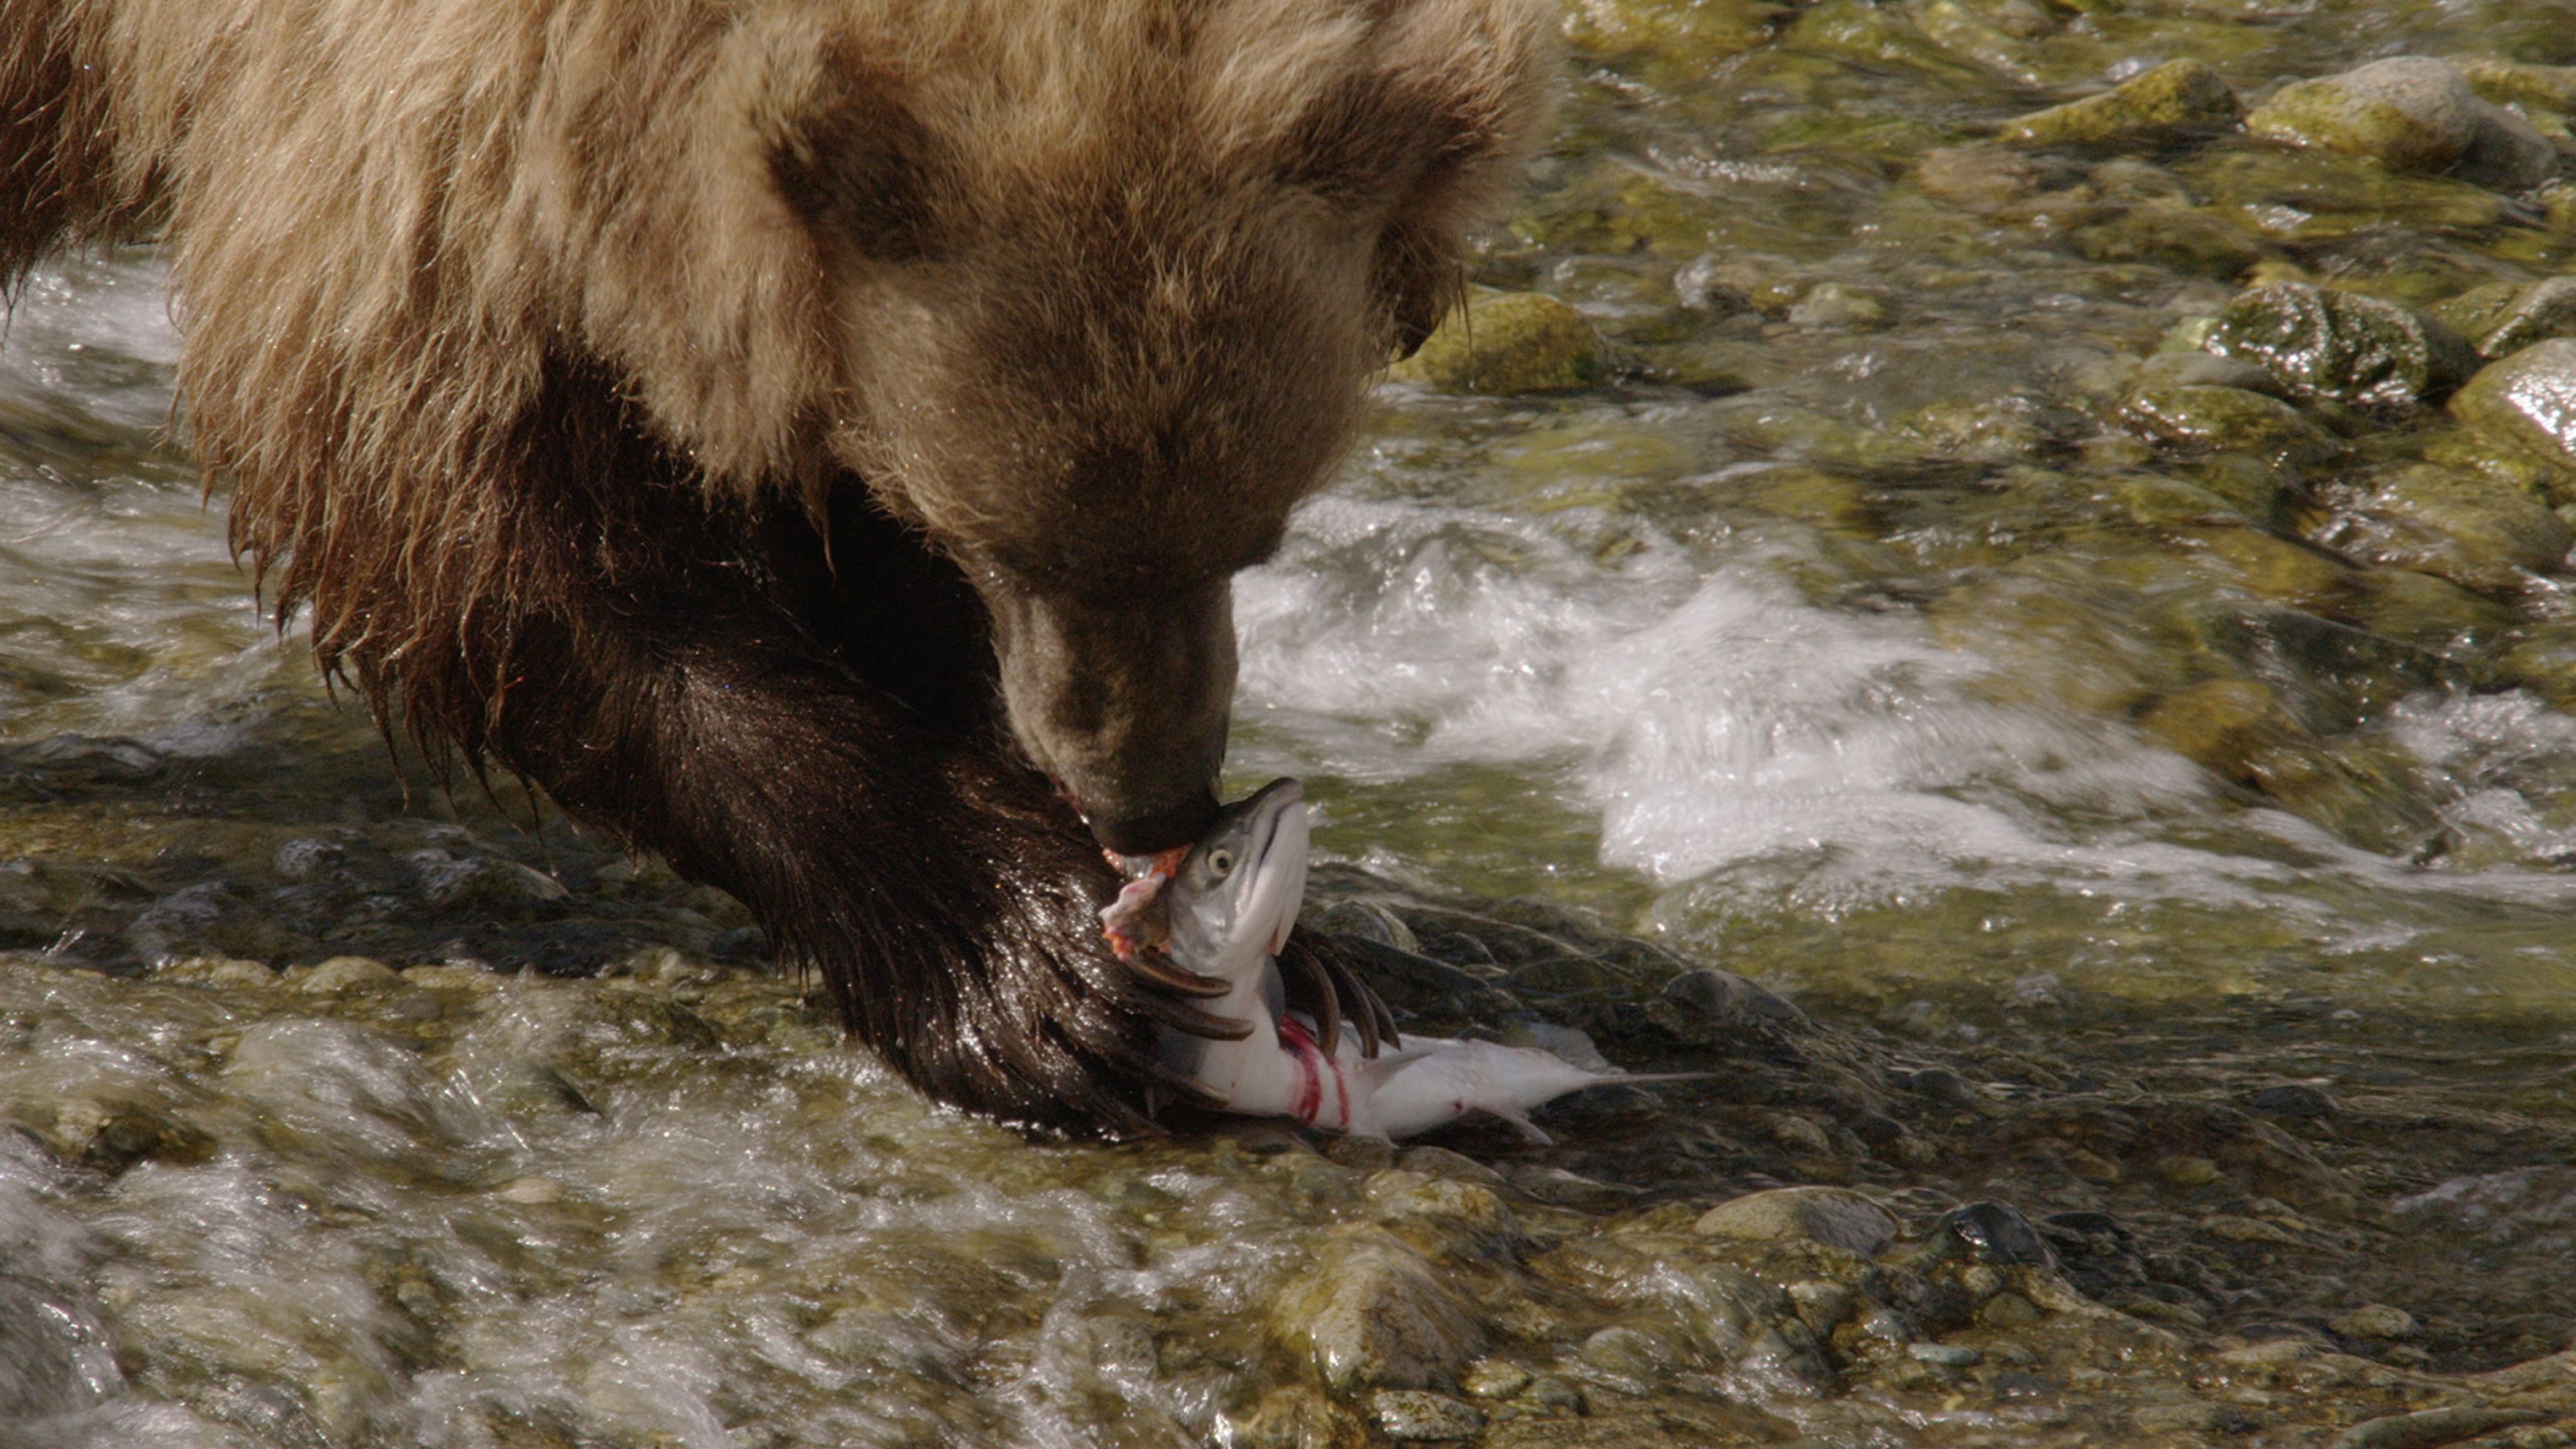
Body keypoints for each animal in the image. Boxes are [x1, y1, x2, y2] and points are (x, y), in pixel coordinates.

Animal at [5, 0, 1545, 1129]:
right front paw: (1031, 973)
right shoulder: (420, 166)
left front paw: (1323, 961)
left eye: (1261, 529)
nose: (1154, 799)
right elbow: (465, 540)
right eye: (1003, 537)